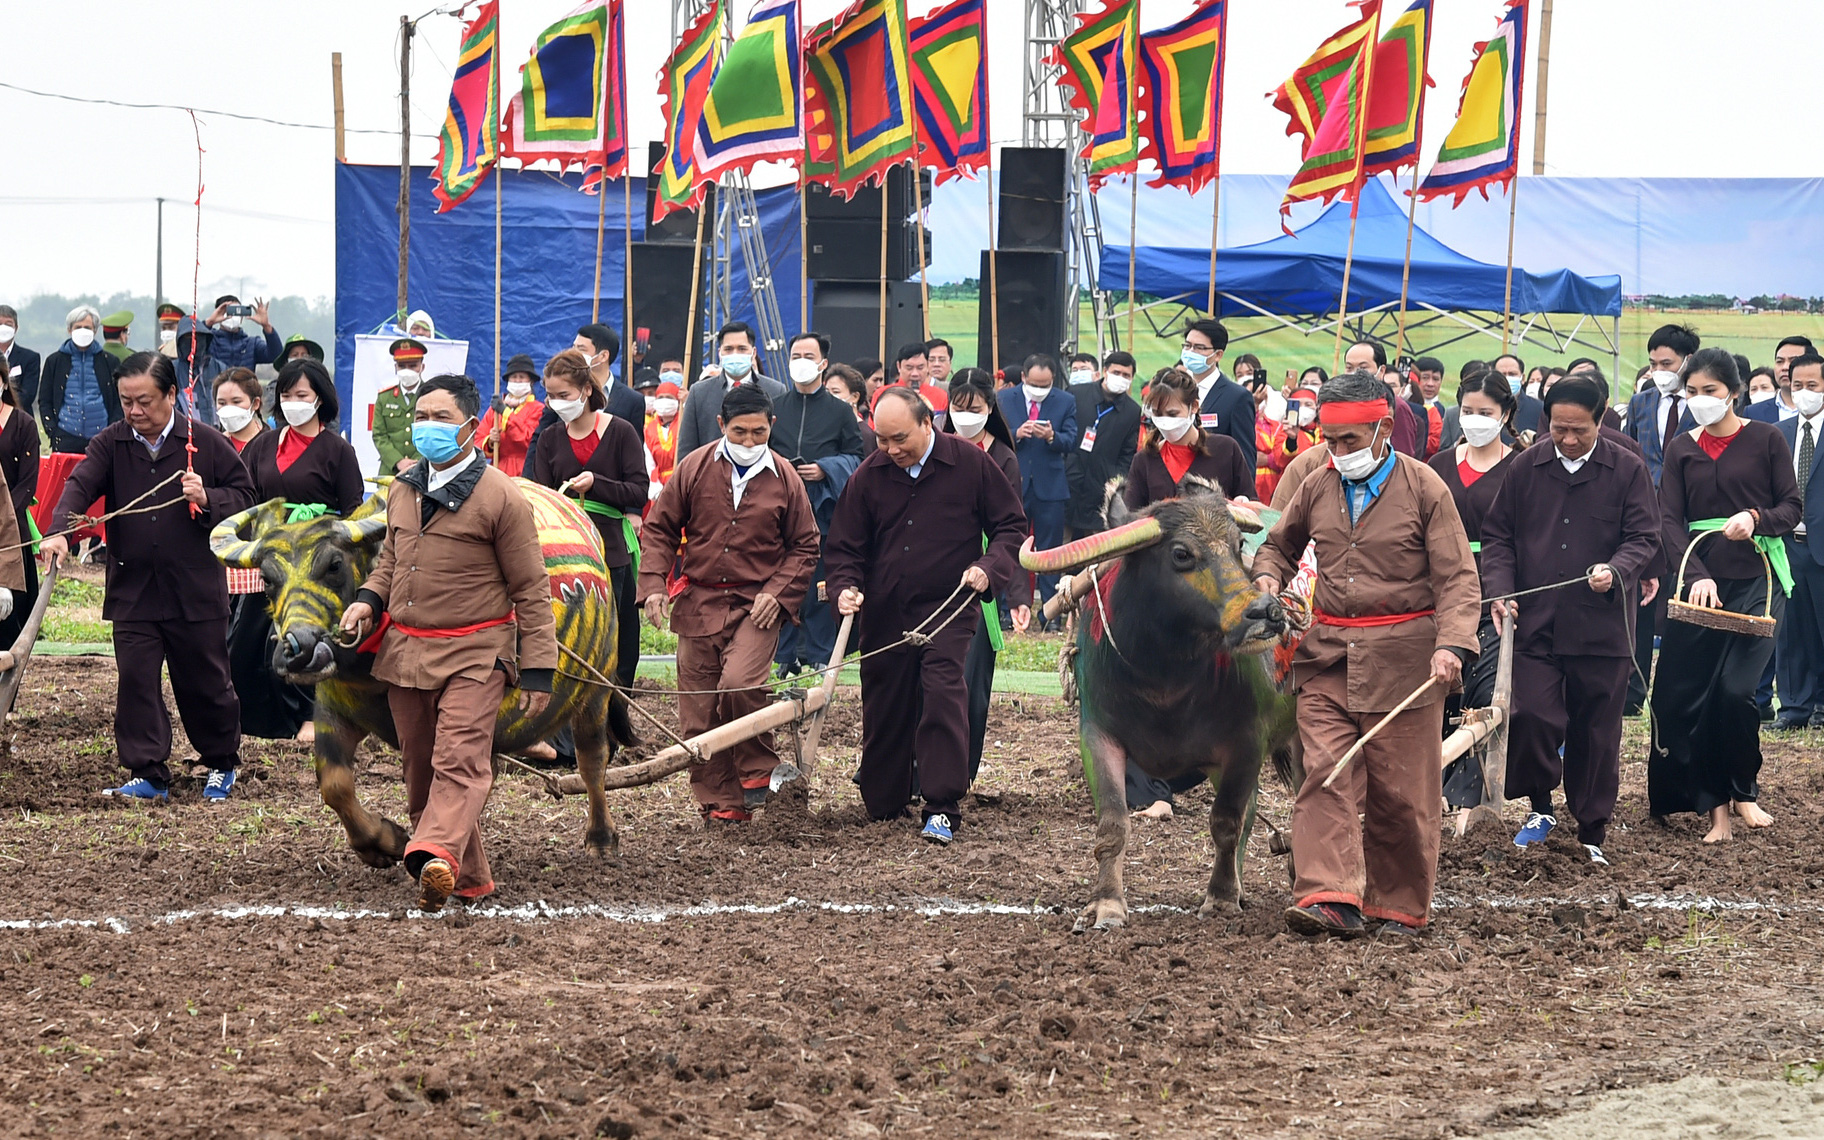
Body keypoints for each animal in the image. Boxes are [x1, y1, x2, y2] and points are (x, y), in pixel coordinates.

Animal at [214, 481, 634, 871]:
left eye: (334, 566)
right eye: (268, 579)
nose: (297, 649)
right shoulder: (334, 710)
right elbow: (334, 785)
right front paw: (382, 843)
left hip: (596, 693)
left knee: (592, 760)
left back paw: (601, 839)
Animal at [1028, 481, 1298, 933]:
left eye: (1238, 544)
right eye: (1181, 553)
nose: (1266, 612)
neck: (1165, 679)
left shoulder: (1247, 742)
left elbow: (1226, 821)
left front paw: (1219, 899)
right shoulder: (1097, 737)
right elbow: (1112, 824)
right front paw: (1106, 904)